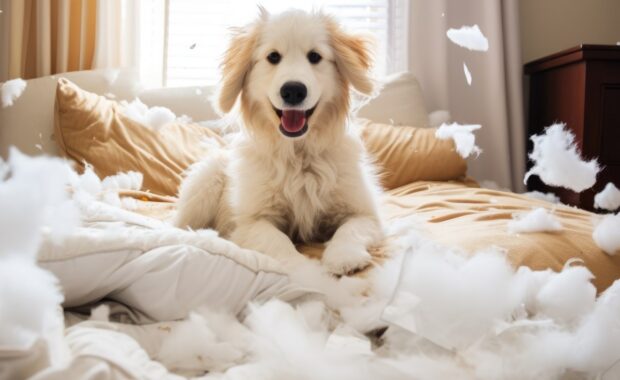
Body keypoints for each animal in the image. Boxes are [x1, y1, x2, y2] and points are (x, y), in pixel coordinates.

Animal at [176, 9, 382, 276]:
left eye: (315, 56)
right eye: (273, 57)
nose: (293, 90)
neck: (298, 153)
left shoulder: (366, 213)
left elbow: (351, 229)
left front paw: (344, 257)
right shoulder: (252, 221)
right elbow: (279, 242)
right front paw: (305, 270)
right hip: (205, 180)